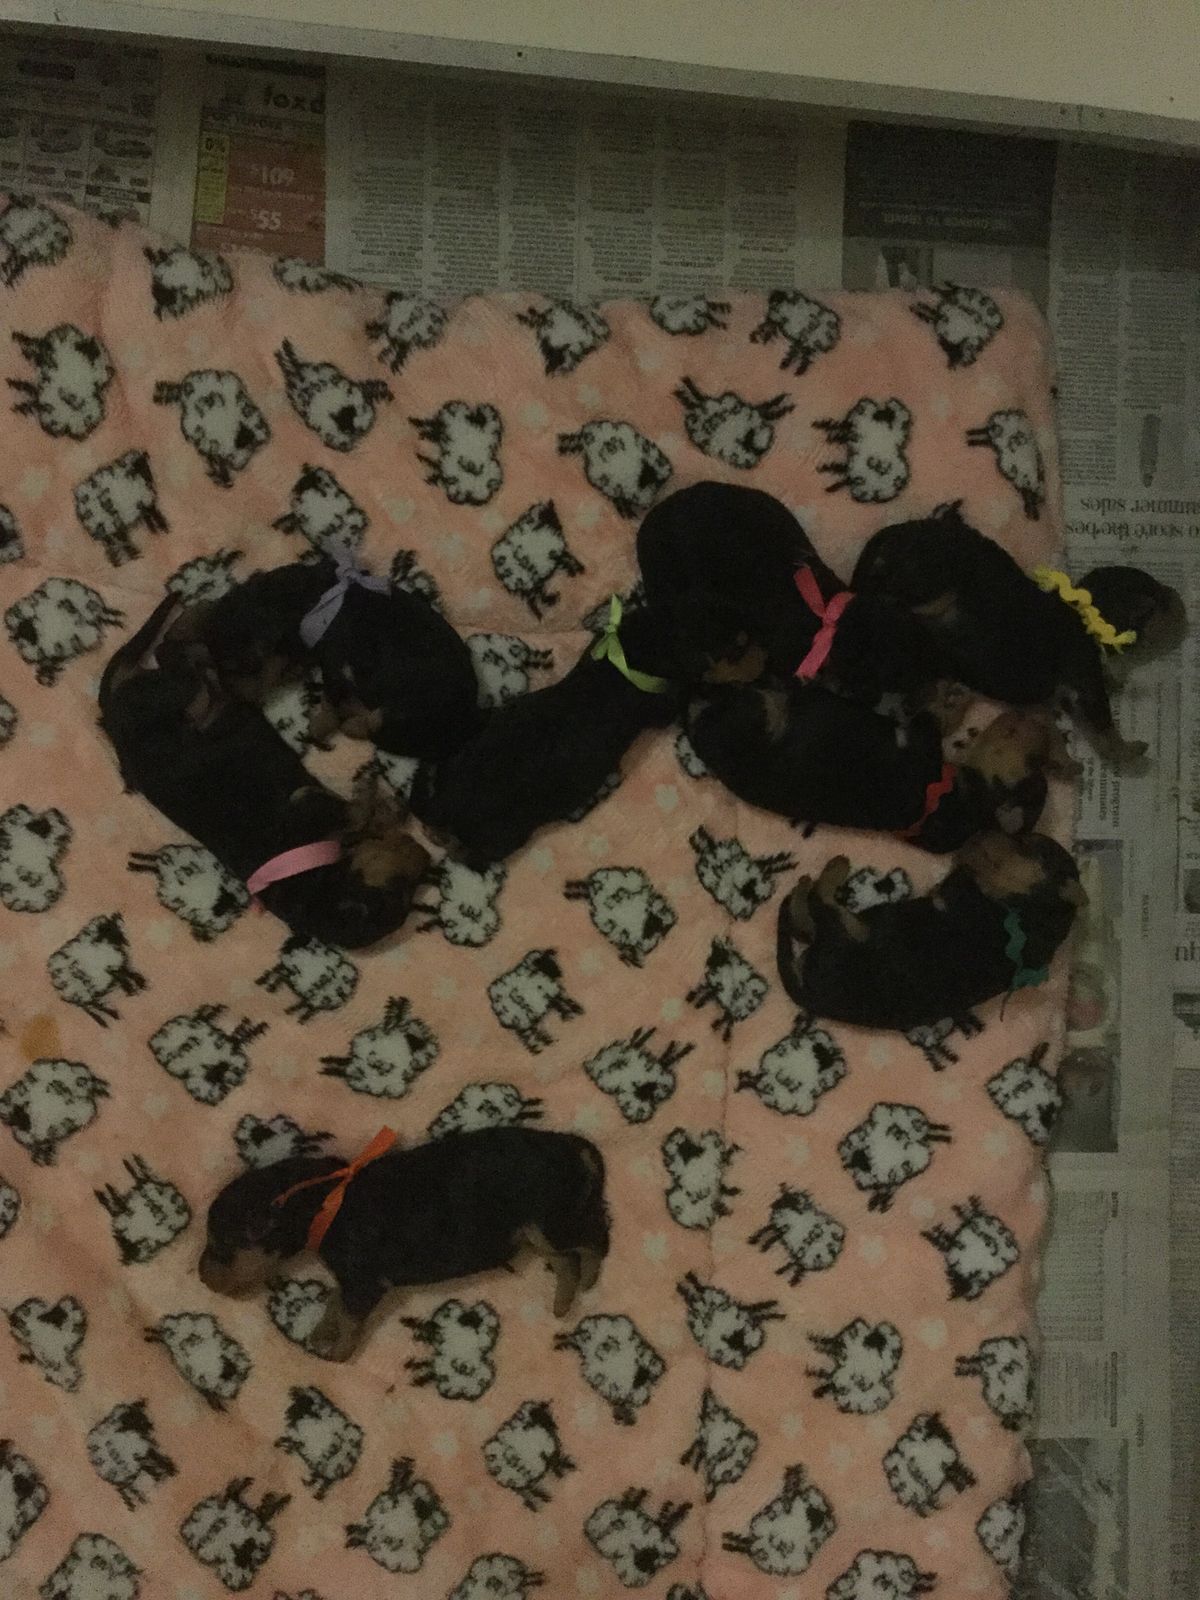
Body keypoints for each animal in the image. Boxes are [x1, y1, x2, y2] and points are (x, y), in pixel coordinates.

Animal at [99, 594, 429, 948]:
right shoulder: (307, 807)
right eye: (398, 888)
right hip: (168, 699)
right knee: (179, 659)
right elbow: (352, 812)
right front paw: (371, 794)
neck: (315, 884)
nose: (427, 857)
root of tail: (112, 712)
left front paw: (387, 811)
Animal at [164, 556, 480, 759]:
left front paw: (319, 725)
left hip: (404, 709)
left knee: (369, 723)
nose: (235, 697)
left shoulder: (335, 664)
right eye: (217, 666)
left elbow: (329, 704)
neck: (307, 604)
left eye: (248, 667)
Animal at [199, 1126, 609, 1359]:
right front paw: (322, 1332)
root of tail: (570, 1144)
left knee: (592, 1243)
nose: (202, 1276)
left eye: (219, 1246)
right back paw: (563, 1302)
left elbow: (349, 1317)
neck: (323, 1200)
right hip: (537, 1232)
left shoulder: (364, 1281)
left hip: (550, 1220)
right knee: (567, 1259)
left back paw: (585, 1282)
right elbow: (335, 1302)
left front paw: (337, 1353)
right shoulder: (351, 1279)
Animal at [776, 832, 1085, 1030]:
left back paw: (829, 870)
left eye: (1023, 844)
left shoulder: (968, 897)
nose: (983, 829)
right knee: (805, 922)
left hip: (850, 932)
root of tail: (811, 994)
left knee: (819, 906)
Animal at [851, 501, 1186, 763]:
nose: (1181, 601)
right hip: (931, 581)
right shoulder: (1084, 678)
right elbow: (1104, 726)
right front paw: (1132, 751)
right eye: (1159, 606)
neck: (1085, 615)